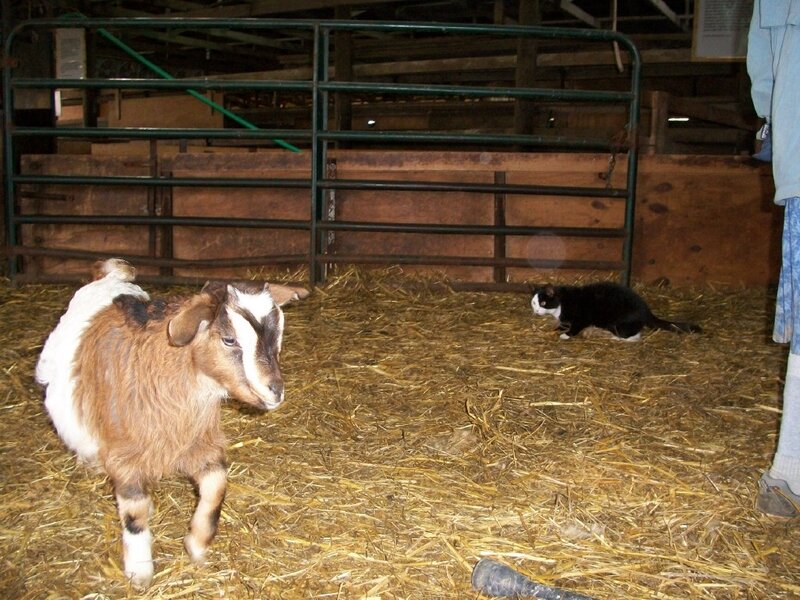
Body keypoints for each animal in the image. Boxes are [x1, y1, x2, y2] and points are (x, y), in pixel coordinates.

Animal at [36, 259, 308, 588]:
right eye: (229, 339)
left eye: (278, 336)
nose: (276, 391)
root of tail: (111, 274)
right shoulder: (125, 455)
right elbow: (135, 514)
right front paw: (140, 571)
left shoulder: (199, 443)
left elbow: (217, 487)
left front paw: (197, 543)